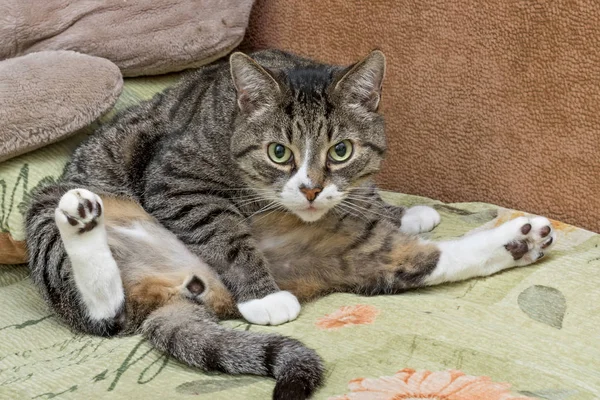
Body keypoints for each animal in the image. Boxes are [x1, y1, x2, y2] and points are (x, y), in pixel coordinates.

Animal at [25, 49, 556, 396]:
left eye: (340, 150)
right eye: (279, 152)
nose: (311, 190)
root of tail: (179, 293)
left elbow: (365, 194)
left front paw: (401, 210)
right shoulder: (175, 179)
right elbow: (222, 229)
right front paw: (262, 295)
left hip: (343, 252)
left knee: (416, 261)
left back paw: (520, 240)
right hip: (46, 208)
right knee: (102, 308)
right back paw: (81, 219)